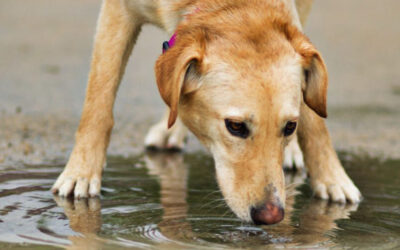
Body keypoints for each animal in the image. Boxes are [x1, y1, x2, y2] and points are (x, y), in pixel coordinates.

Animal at [50, 0, 362, 226]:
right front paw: (81, 172)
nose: (271, 216)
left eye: (289, 127)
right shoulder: (118, 12)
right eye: (235, 126)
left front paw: (331, 177)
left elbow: (314, 119)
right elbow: (99, 100)